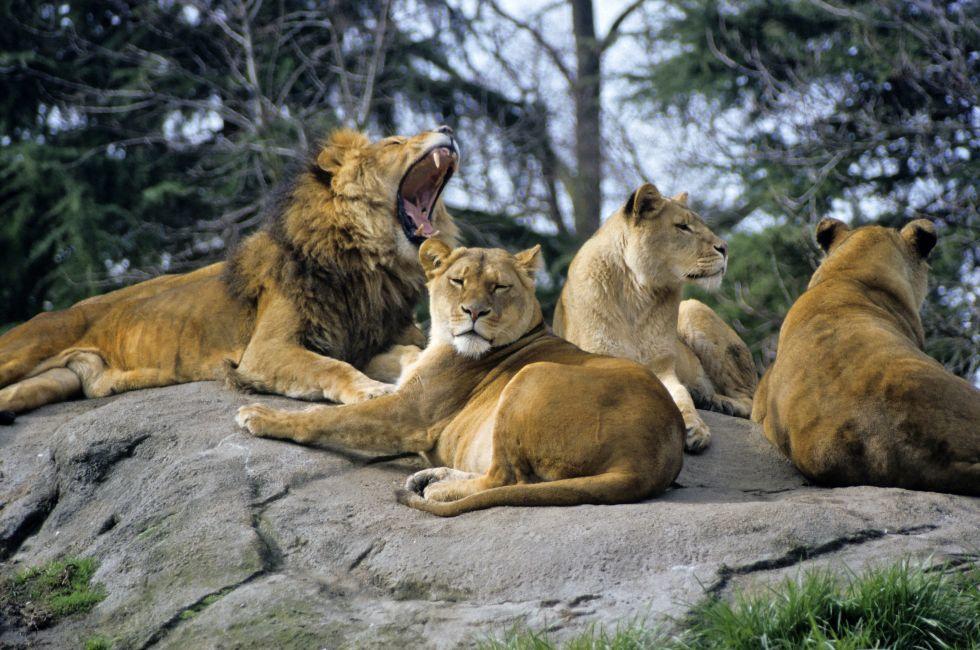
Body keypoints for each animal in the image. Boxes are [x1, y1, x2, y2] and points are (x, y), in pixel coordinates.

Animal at [0, 126, 460, 421]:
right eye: (396, 142)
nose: (448, 127)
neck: (369, 264)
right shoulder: (265, 350)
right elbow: (332, 368)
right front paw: (370, 390)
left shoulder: (369, 341)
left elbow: (407, 354)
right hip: (26, 348)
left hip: (58, 380)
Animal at [236, 240, 685, 516]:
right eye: (457, 281)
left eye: (499, 287)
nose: (474, 311)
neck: (444, 340)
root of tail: (646, 462)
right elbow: (390, 363)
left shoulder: (409, 414)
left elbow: (328, 419)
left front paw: (262, 416)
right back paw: (432, 477)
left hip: (530, 376)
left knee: (505, 477)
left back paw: (437, 486)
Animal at [553, 183, 757, 452]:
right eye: (682, 226)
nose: (725, 248)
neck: (636, 294)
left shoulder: (661, 367)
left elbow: (680, 396)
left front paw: (695, 428)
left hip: (693, 310)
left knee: (752, 402)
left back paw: (719, 403)